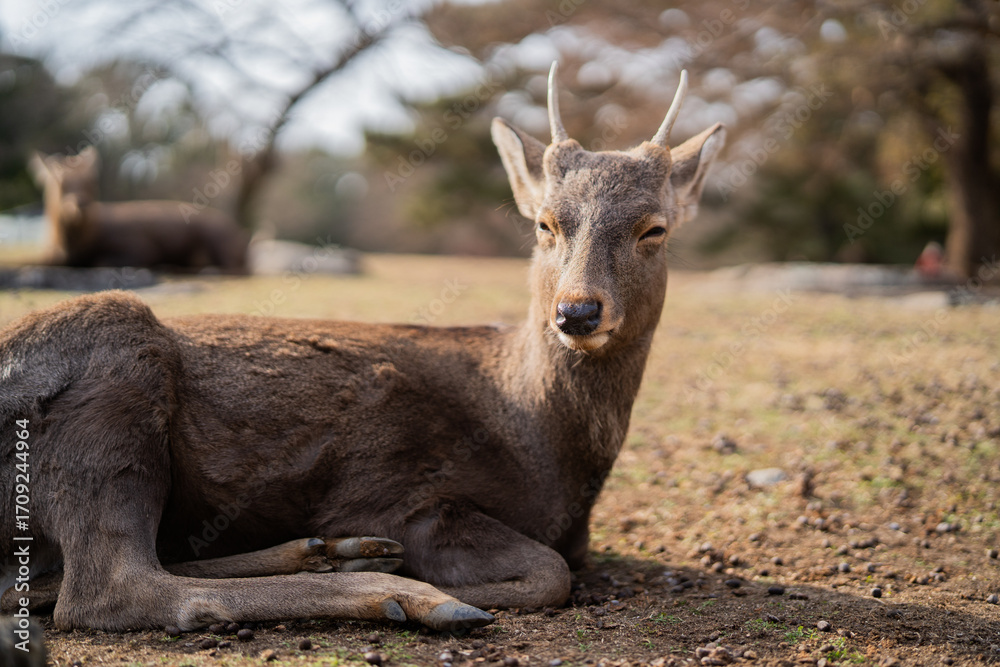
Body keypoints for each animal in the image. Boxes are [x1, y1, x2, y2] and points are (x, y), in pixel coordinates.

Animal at [27, 146, 248, 272]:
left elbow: (103, 261)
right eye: (60, 183)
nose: (80, 204)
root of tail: (240, 235)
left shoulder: (140, 248)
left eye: (92, 181)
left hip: (218, 241)